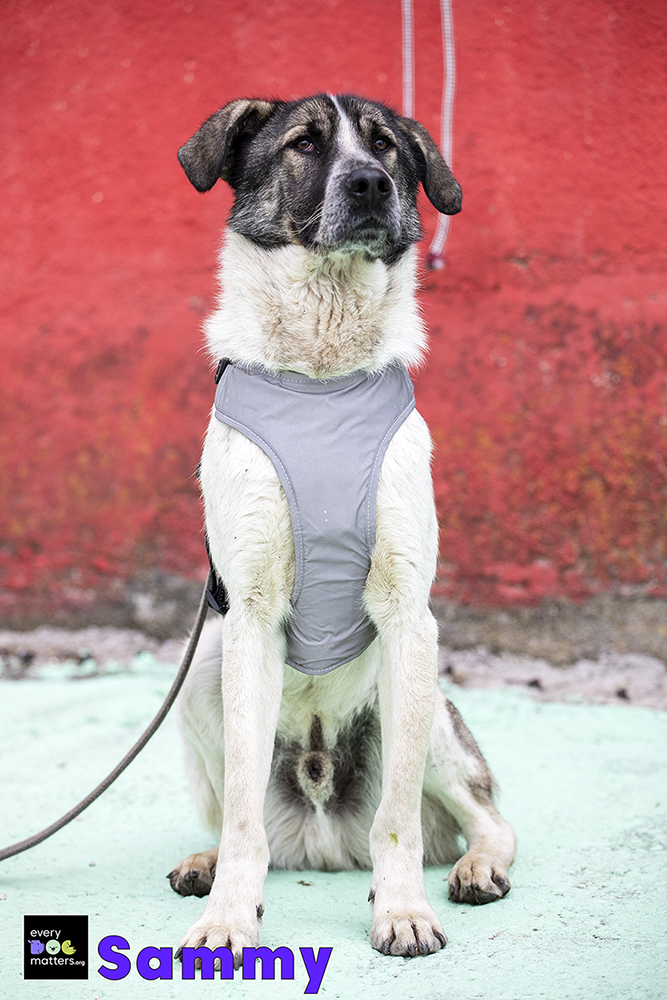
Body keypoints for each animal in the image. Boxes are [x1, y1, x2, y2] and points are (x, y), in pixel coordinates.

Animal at [168, 93, 516, 964]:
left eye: (386, 147)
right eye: (302, 144)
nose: (368, 185)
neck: (321, 375)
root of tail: (324, 841)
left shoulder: (406, 612)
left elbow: (396, 824)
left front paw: (402, 912)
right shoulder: (249, 617)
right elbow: (244, 821)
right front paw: (228, 916)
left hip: (426, 704)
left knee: (478, 818)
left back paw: (474, 870)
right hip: (204, 670)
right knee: (240, 816)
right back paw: (206, 860)